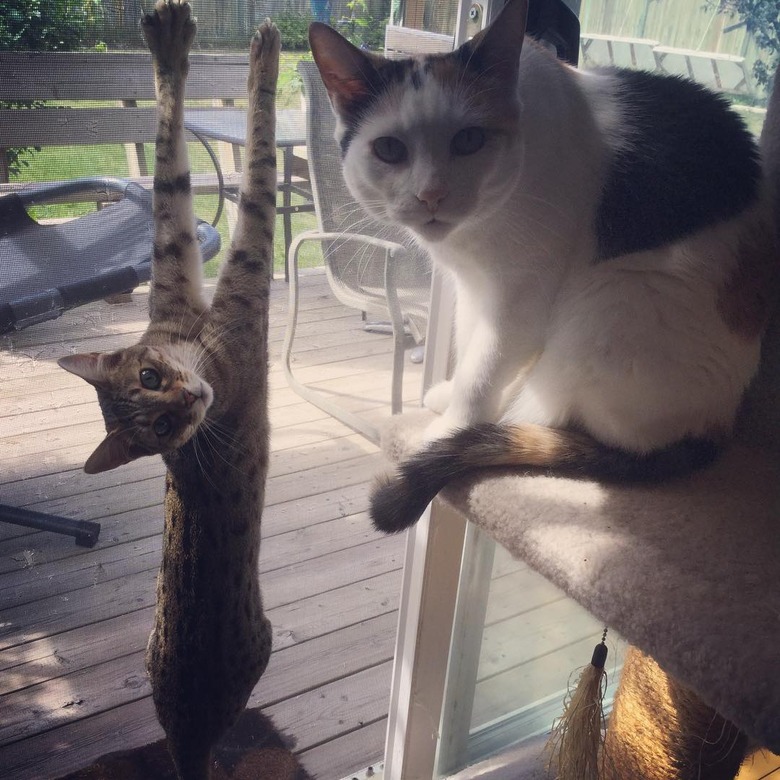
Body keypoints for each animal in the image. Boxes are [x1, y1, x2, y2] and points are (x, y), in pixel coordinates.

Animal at [58, 3, 278, 776]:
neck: (194, 337)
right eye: (157, 430)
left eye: (151, 379)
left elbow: (169, 172)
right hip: (262, 643)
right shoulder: (246, 281)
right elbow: (256, 172)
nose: (187, 404)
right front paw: (266, 51)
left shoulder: (173, 268)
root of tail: (187, 736)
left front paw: (169, 43)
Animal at [310, 0, 780, 532]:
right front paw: (447, 397)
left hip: (615, 298)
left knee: (558, 418)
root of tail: (717, 424)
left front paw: (447, 429)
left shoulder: (522, 299)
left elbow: (482, 372)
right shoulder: (471, 288)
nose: (431, 194)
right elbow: (470, 349)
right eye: (389, 149)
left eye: (469, 140)